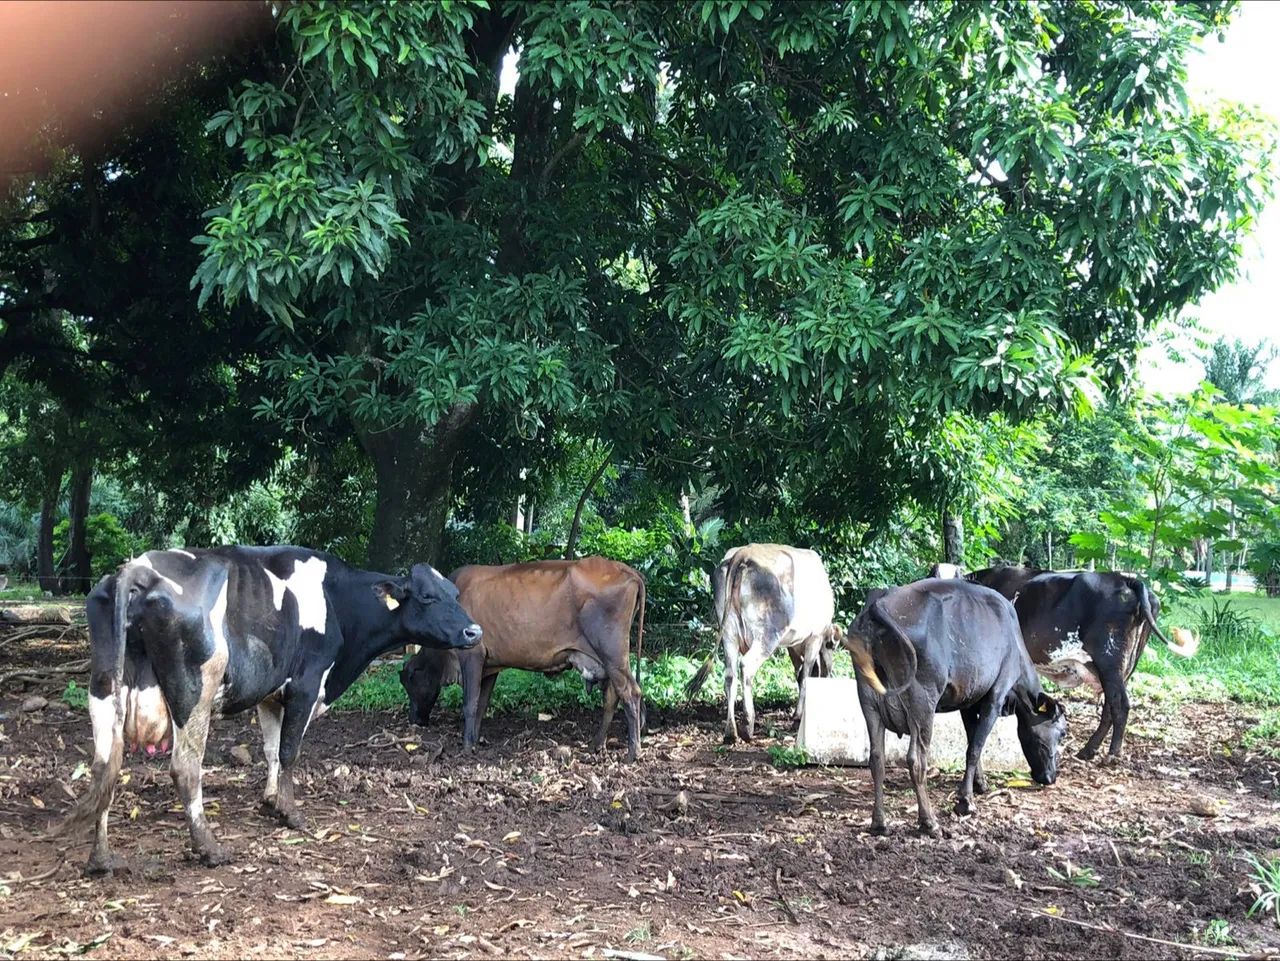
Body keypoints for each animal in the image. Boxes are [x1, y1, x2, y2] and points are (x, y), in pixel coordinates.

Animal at [58, 547, 482, 876]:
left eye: (454, 593)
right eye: (427, 597)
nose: (474, 631)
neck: (339, 602)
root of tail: (138, 569)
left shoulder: (270, 693)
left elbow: (271, 749)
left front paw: (270, 800)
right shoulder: (306, 684)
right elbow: (289, 750)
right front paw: (290, 813)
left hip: (104, 687)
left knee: (105, 767)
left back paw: (102, 859)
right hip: (195, 689)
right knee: (185, 767)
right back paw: (209, 848)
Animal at [399, 556, 647, 760]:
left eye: (410, 681)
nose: (414, 720)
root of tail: (627, 570)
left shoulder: (472, 655)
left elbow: (470, 704)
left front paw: (467, 747)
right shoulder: (490, 665)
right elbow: (481, 703)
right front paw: (476, 739)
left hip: (612, 654)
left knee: (630, 693)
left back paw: (633, 753)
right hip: (607, 661)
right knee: (612, 698)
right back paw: (597, 745)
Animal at [684, 544, 837, 743]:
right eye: (831, 647)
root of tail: (743, 553)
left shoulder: (793, 645)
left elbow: (799, 673)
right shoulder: (815, 637)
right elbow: (805, 676)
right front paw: (798, 716)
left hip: (729, 634)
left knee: (730, 675)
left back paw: (731, 732)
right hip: (767, 635)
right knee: (746, 666)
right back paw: (748, 725)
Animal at [844, 578, 1067, 837]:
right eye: (1062, 733)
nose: (1051, 777)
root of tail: (878, 605)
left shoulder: (968, 702)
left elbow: (972, 741)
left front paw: (980, 784)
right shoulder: (995, 695)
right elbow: (975, 748)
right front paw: (965, 801)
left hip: (868, 701)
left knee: (877, 758)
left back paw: (879, 823)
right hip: (922, 702)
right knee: (916, 760)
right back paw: (929, 822)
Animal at [966, 566, 1198, 760]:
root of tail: (1126, 579)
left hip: (1109, 661)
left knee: (1120, 704)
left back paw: (1112, 754)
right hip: (1124, 666)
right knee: (1110, 706)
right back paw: (1088, 751)